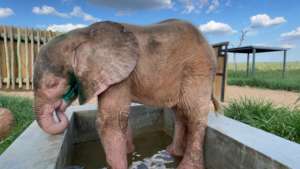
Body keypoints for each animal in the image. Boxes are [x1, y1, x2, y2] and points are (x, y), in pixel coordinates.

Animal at [33, 19, 218, 168]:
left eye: (52, 85)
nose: (60, 108)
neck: (80, 35)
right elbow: (120, 118)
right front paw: (128, 153)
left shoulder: (116, 72)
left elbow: (109, 121)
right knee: (180, 113)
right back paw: (171, 153)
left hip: (198, 69)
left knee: (194, 115)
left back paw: (186, 165)